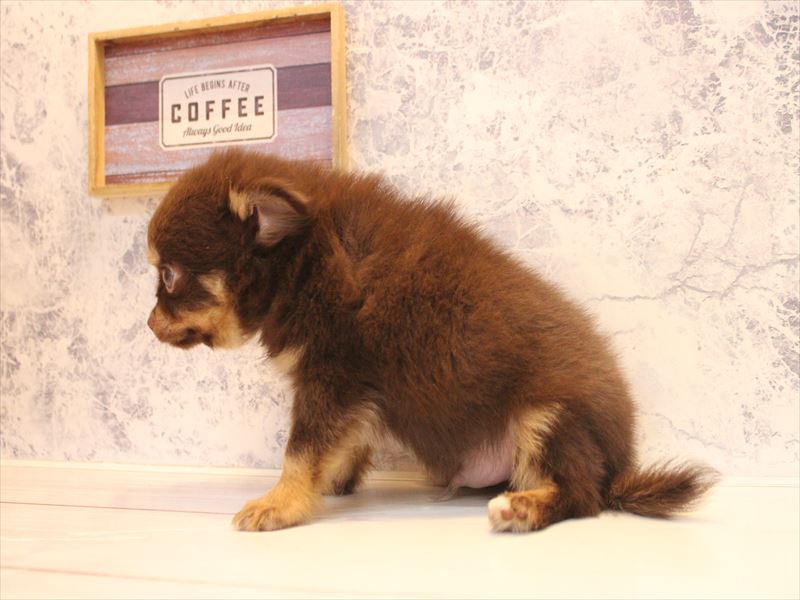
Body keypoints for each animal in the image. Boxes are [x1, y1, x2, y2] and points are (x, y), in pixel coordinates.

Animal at [146, 148, 716, 532]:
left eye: (169, 275)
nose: (148, 322)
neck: (305, 260)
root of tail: (620, 466)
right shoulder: (352, 391)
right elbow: (344, 444)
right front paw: (329, 482)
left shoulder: (333, 378)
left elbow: (301, 449)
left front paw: (280, 502)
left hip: (546, 416)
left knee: (582, 497)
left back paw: (523, 507)